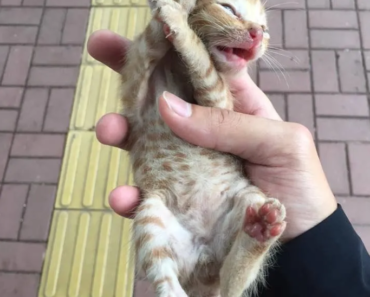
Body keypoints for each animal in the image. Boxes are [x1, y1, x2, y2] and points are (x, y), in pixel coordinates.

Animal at [118, 0, 286, 296]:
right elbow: (149, 43)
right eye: (229, 9)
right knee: (165, 276)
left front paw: (179, 20)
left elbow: (203, 63)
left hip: (250, 197)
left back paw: (260, 231)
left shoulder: (220, 102)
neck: (173, 67)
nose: (256, 33)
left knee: (232, 285)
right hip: (151, 215)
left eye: (264, 29)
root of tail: (206, 265)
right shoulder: (135, 80)